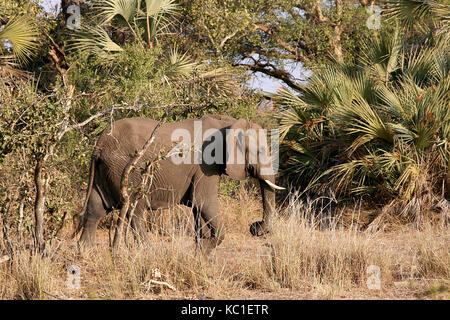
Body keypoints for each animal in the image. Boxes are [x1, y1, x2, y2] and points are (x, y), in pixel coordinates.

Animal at [74, 114, 284, 251]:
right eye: (260, 151)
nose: (255, 227)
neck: (228, 123)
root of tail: (99, 145)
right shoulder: (204, 165)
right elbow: (203, 202)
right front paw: (205, 246)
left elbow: (198, 208)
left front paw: (201, 250)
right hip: (127, 169)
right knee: (135, 209)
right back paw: (147, 251)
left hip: (105, 169)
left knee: (95, 208)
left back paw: (85, 251)